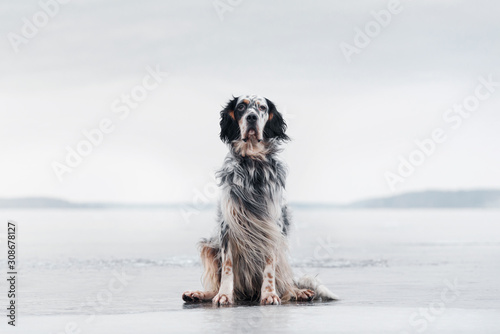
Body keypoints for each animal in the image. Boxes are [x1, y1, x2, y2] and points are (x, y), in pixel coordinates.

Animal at [182, 94, 338, 306]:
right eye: (241, 107)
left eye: (262, 107)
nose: (252, 117)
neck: (252, 164)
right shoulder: (227, 227)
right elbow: (228, 268)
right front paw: (223, 295)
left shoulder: (272, 227)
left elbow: (269, 268)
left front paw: (269, 294)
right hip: (210, 246)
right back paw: (198, 294)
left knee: (287, 284)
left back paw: (299, 292)